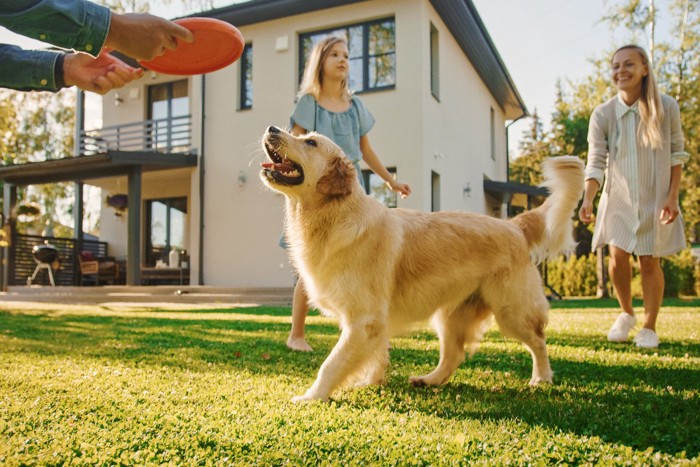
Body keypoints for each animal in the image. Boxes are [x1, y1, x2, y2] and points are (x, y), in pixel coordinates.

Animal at [260, 125, 584, 402]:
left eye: (311, 142)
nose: (272, 128)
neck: (333, 215)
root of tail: (514, 225)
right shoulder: (373, 321)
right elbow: (375, 354)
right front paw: (371, 381)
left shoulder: (364, 319)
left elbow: (331, 363)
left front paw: (311, 396)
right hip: (451, 314)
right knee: (454, 355)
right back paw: (429, 380)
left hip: (511, 310)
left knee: (538, 340)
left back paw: (541, 378)